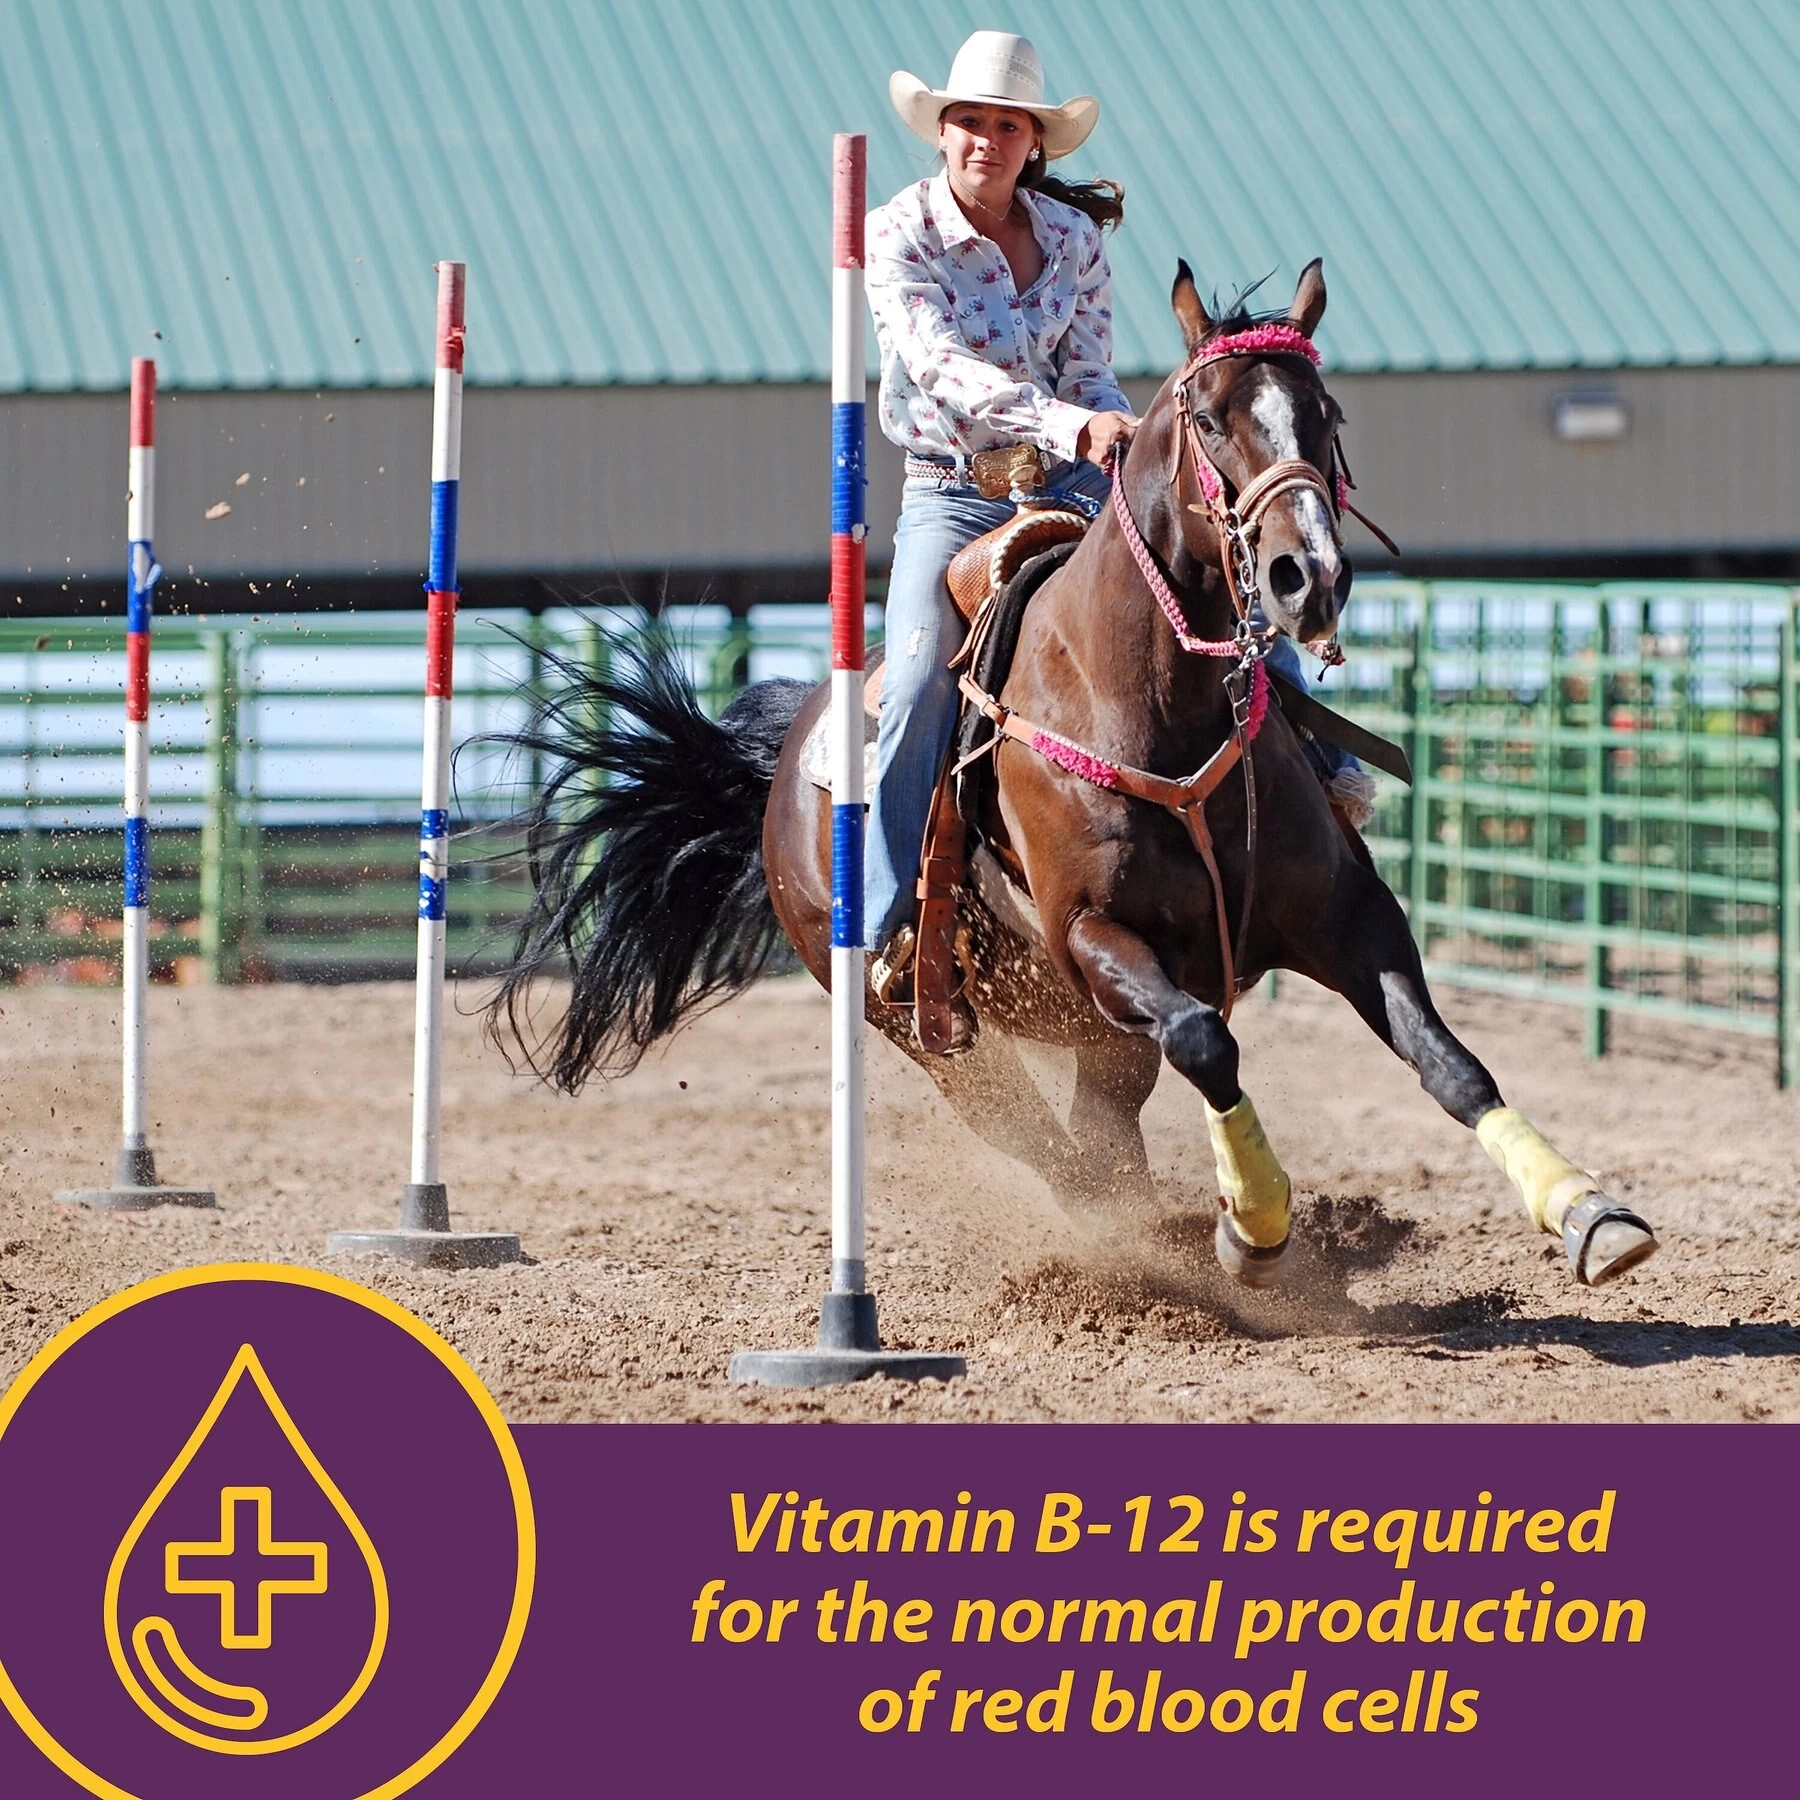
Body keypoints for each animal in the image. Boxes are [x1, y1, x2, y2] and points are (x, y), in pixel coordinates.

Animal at [486, 258, 1658, 1295]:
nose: (1306, 576)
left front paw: (1588, 1212)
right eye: (1208, 415)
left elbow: (1449, 1061)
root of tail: (781, 774)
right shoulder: (1097, 937)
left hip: (1091, 1034)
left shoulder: (1347, 914)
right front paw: (1254, 1231)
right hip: (932, 1031)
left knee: (1103, 1140)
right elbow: (1208, 1040)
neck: (1153, 707)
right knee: (1058, 1151)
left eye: (1324, 414)